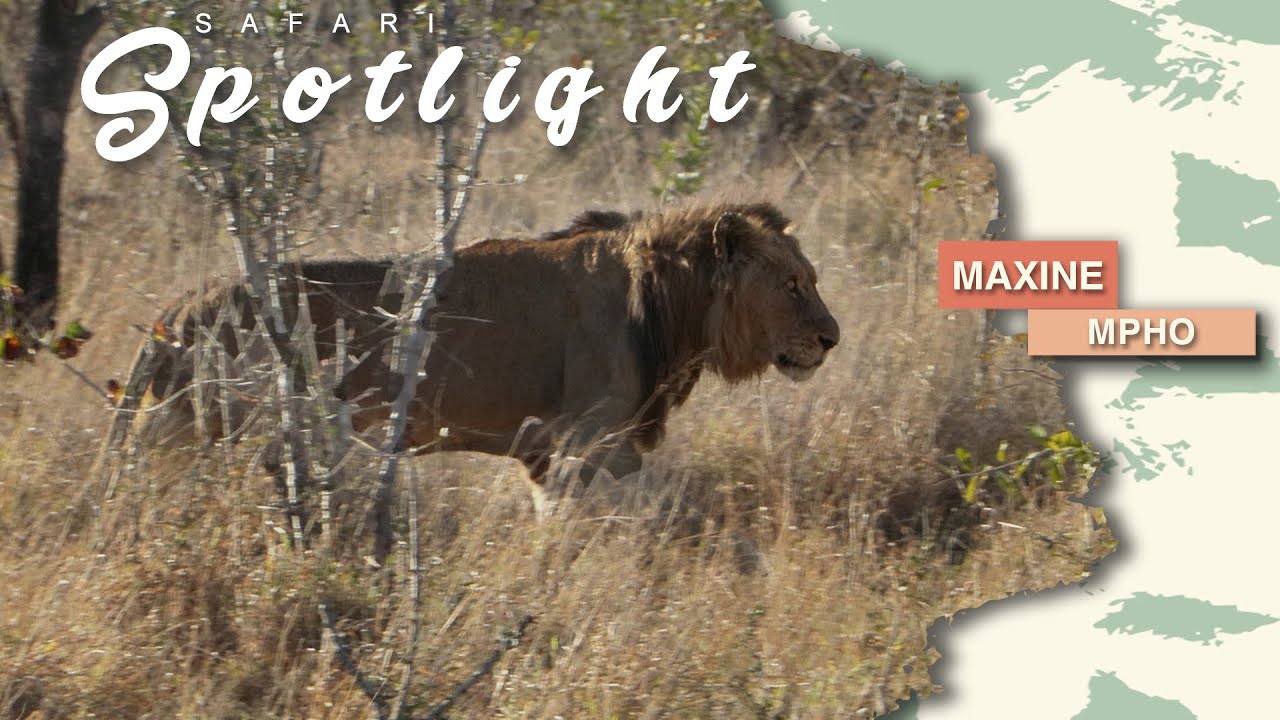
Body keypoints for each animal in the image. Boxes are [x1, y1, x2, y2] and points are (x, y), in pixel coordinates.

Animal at [102, 202, 840, 490]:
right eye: (792, 284)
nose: (831, 339)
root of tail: (177, 311)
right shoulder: (590, 444)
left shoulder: (555, 453)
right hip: (197, 432)